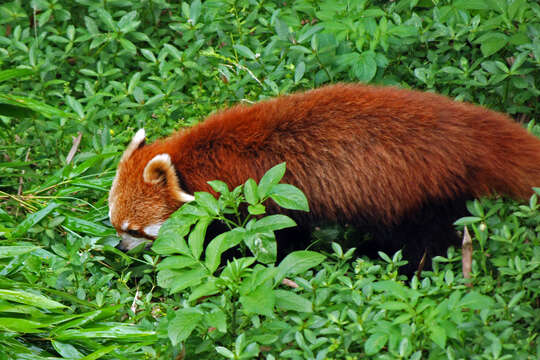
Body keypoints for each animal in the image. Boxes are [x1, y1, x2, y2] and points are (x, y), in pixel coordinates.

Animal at [107, 83, 540, 270]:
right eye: (115, 224)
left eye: (136, 229)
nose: (120, 247)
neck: (199, 163)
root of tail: (462, 129)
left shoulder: (258, 197)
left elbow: (276, 240)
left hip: (412, 192)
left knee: (425, 241)